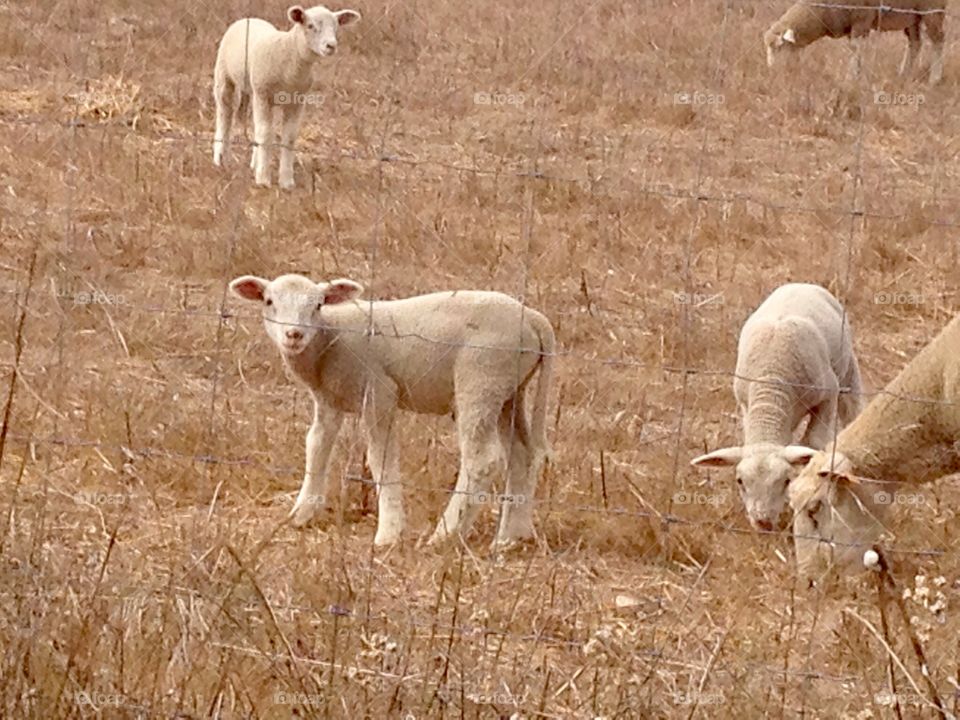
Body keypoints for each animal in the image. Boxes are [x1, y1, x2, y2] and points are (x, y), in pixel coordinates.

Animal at [212, 5, 361, 189]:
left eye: (336, 26)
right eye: (310, 26)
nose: (331, 46)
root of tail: (249, 18)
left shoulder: (296, 100)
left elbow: (289, 137)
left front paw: (286, 181)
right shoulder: (264, 94)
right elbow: (266, 134)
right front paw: (263, 178)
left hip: (255, 91)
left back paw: (253, 162)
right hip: (224, 76)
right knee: (224, 114)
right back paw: (220, 158)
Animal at [229, 273, 555, 548]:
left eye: (318, 305)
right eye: (269, 301)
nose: (294, 335)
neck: (330, 337)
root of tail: (535, 319)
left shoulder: (379, 393)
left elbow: (379, 460)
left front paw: (388, 534)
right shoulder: (328, 400)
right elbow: (317, 445)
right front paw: (301, 513)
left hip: (481, 379)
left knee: (482, 460)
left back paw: (445, 533)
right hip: (509, 392)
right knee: (523, 454)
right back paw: (511, 536)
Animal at [691, 283, 864, 531]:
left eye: (786, 480)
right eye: (740, 481)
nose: (762, 521)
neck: (771, 382)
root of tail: (800, 284)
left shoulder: (828, 395)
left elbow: (815, 442)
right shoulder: (746, 404)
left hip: (847, 369)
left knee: (853, 408)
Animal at [763, 0, 946, 84]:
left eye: (779, 48)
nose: (772, 72)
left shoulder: (862, 19)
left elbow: (855, 48)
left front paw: (851, 78)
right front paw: (856, 75)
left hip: (932, 10)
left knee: (938, 40)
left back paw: (935, 79)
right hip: (912, 16)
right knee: (915, 43)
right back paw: (903, 74)